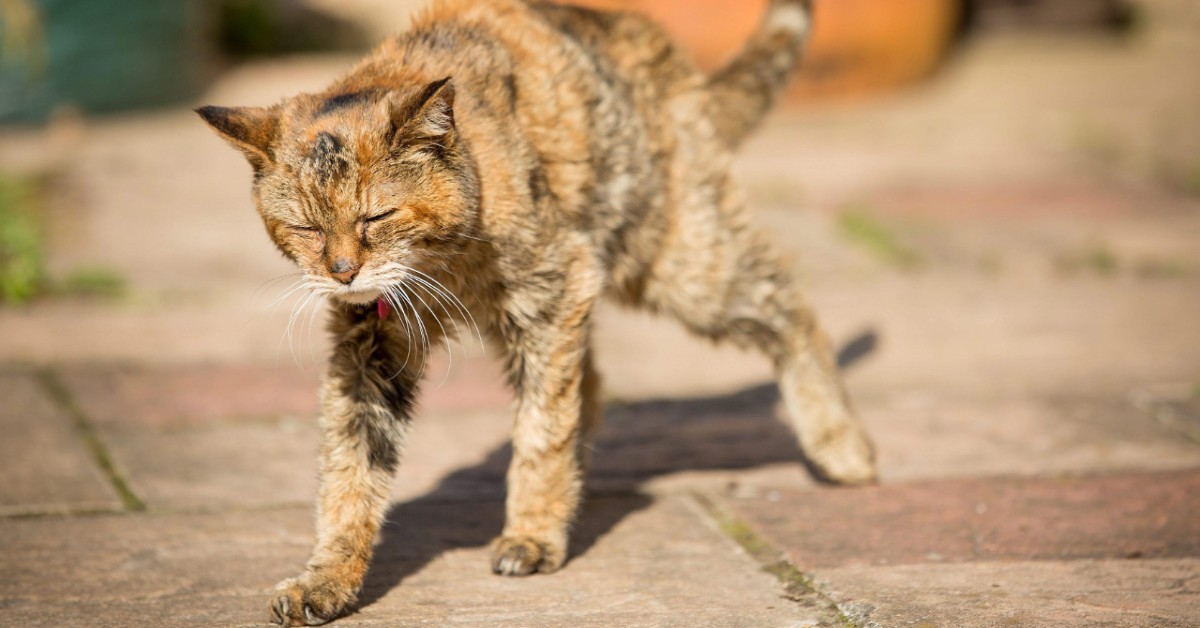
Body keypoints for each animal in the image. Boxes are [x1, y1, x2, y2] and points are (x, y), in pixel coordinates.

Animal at [194, 0, 873, 624]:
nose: (341, 272)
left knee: (791, 308)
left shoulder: (553, 292)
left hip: (683, 264)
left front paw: (533, 534)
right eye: (304, 227)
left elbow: (542, 431)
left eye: (375, 216)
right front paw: (328, 578)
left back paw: (841, 446)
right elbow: (349, 471)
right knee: (592, 381)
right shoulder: (368, 350)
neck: (444, 263)